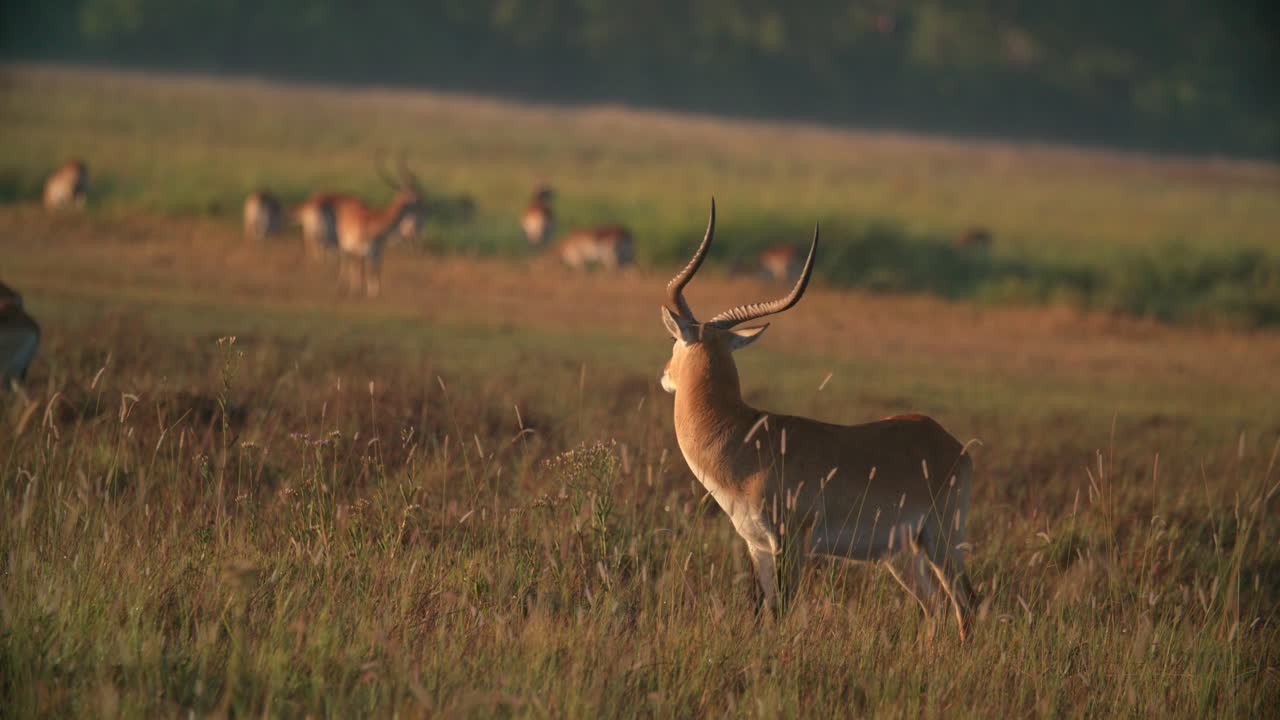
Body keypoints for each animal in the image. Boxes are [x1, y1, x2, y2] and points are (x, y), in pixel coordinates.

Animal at [660, 200, 978, 640]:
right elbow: (761, 611)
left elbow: (782, 610)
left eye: (675, 340)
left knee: (967, 604)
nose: (664, 374)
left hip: (941, 540)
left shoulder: (791, 541)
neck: (743, 437)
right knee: (937, 609)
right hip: (903, 553)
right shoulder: (757, 546)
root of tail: (952, 444)